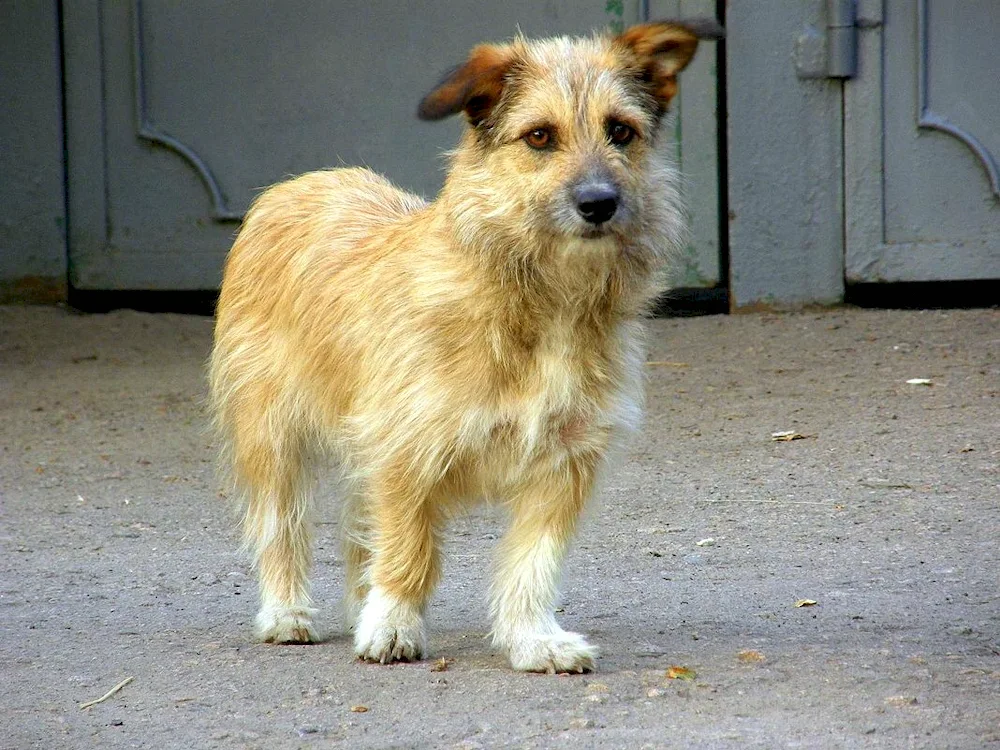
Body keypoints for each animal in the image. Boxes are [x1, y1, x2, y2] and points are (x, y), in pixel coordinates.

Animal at [209, 19, 720, 676]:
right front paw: (393, 625)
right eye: (539, 136)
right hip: (271, 436)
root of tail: (301, 182)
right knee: (281, 525)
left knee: (356, 525)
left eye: (621, 132)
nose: (598, 203)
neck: (543, 303)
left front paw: (532, 638)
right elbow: (408, 549)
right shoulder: (405, 452)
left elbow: (532, 564)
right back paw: (287, 613)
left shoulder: (565, 464)